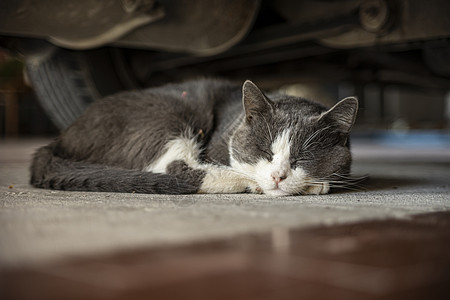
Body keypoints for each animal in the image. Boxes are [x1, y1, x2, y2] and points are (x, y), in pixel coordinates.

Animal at [29, 79, 356, 197]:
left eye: (302, 157)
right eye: (264, 151)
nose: (277, 176)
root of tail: (59, 139)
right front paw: (315, 184)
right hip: (169, 113)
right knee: (178, 169)